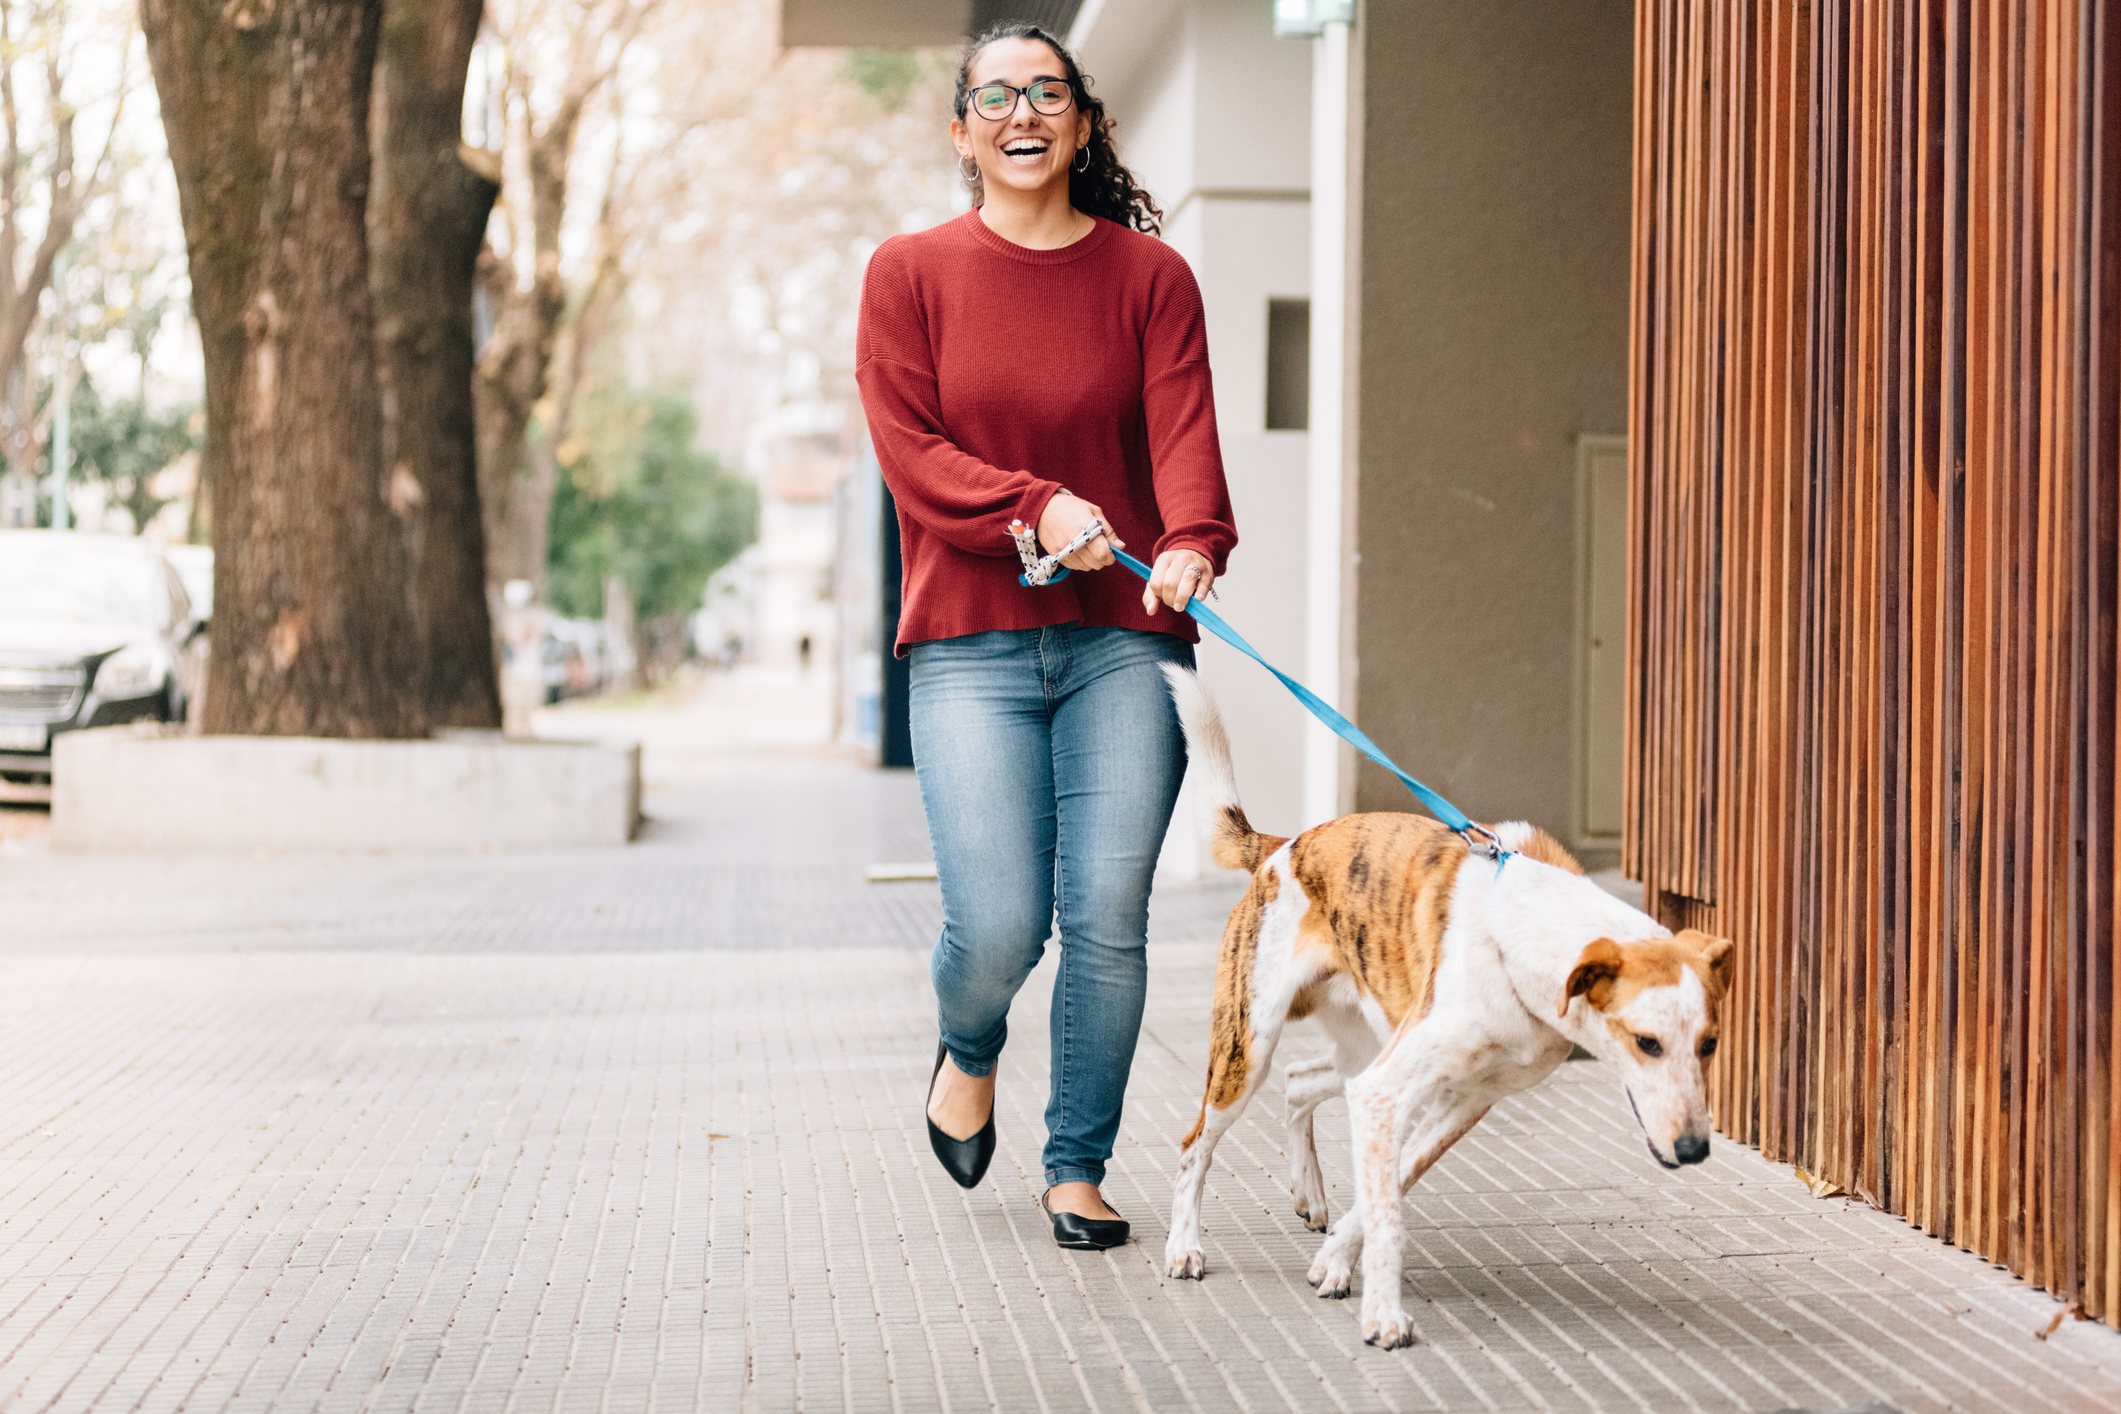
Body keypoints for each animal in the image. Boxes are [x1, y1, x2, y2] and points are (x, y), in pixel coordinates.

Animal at [1162, 669, 1739, 1356]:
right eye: (1646, 1042)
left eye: (1709, 1044)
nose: (1695, 1149)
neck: (1522, 942)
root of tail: (1282, 846)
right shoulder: (1390, 1091)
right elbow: (1389, 1216)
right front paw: (1383, 1316)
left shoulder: (1461, 1099)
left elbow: (1392, 1186)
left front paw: (1336, 1261)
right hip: (1249, 1046)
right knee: (1196, 1144)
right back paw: (1184, 1246)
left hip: (1364, 1047)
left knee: (1301, 1082)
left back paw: (1310, 1192)